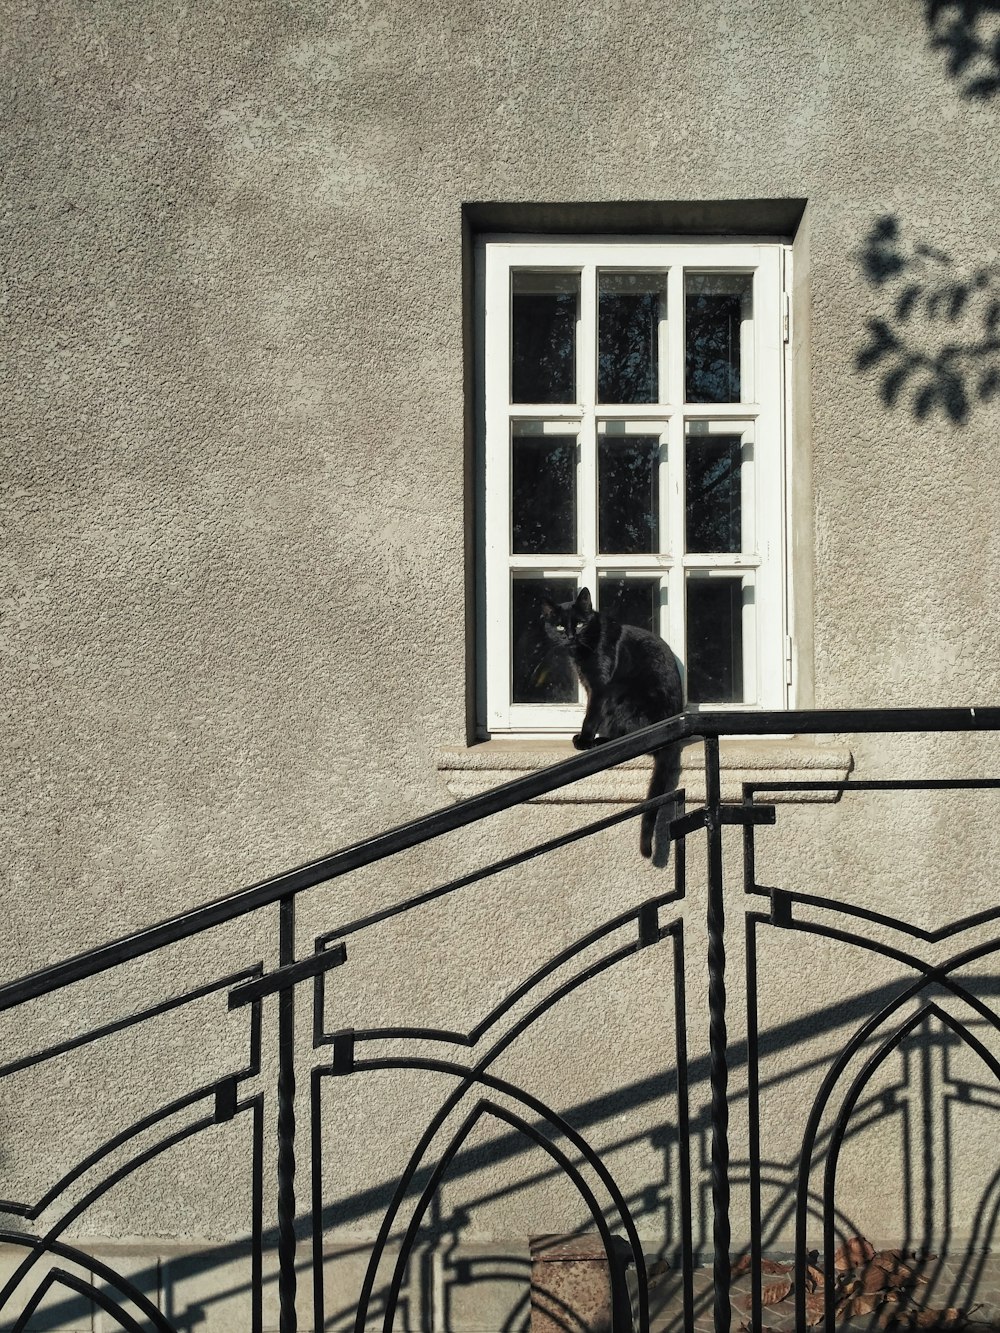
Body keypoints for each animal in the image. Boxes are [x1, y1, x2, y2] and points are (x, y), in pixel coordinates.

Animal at [544, 589, 688, 858]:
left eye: (579, 623)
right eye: (559, 626)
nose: (570, 636)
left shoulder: (600, 688)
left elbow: (591, 715)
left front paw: (584, 740)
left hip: (623, 696)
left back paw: (600, 740)